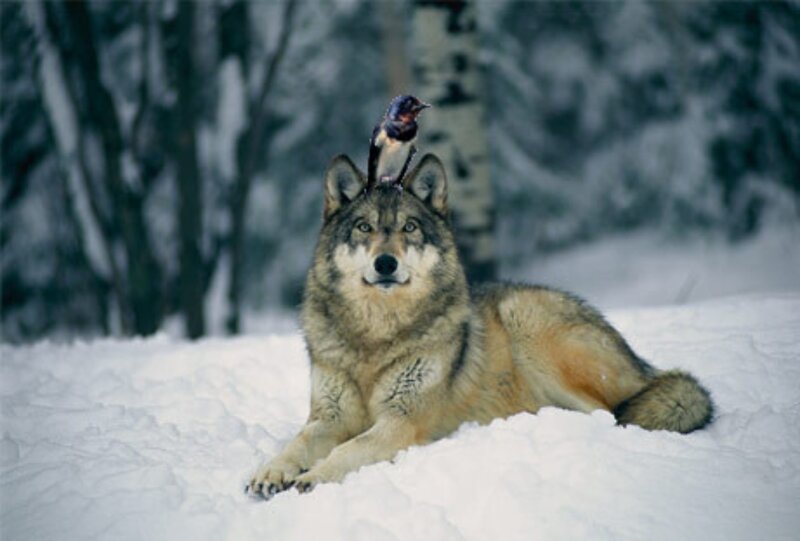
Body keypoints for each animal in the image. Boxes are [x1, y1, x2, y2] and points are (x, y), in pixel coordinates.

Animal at [247, 154, 713, 498]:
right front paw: (270, 472)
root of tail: (643, 366)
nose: (386, 263)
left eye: (409, 228)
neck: (376, 335)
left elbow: (348, 449)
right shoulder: (329, 416)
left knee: (610, 413)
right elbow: (297, 443)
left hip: (527, 322)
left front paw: (313, 477)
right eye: (365, 227)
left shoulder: (402, 421)